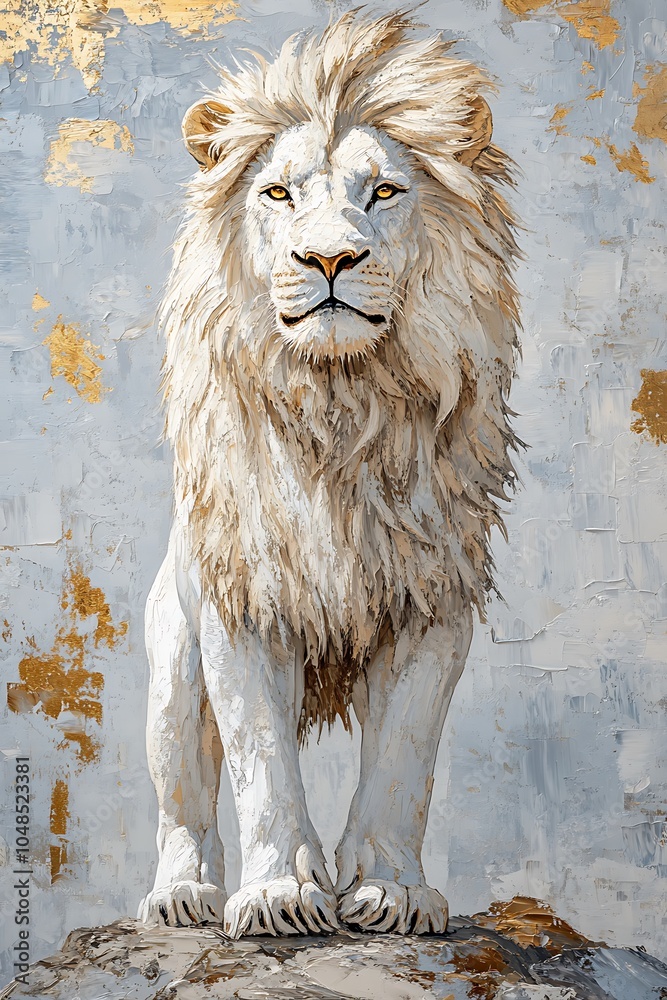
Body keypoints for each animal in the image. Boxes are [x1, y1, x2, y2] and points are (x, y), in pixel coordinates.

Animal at [138, 10, 521, 937]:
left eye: (382, 192)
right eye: (277, 194)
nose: (330, 261)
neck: (344, 410)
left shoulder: (431, 601)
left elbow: (404, 760)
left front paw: (389, 891)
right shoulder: (243, 599)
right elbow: (259, 757)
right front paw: (279, 894)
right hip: (171, 665)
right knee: (183, 802)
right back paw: (181, 895)